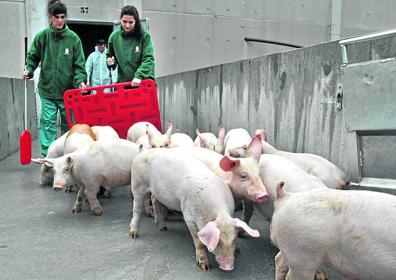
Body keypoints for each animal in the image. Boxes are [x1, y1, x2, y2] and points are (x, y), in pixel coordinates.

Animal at [128, 149, 262, 272]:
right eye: (218, 242)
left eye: (233, 240)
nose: (228, 266)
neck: (220, 213)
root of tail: (143, 152)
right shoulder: (189, 216)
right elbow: (198, 241)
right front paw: (204, 267)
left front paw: (238, 250)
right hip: (137, 184)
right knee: (136, 208)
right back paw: (133, 234)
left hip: (156, 191)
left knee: (154, 199)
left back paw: (163, 228)